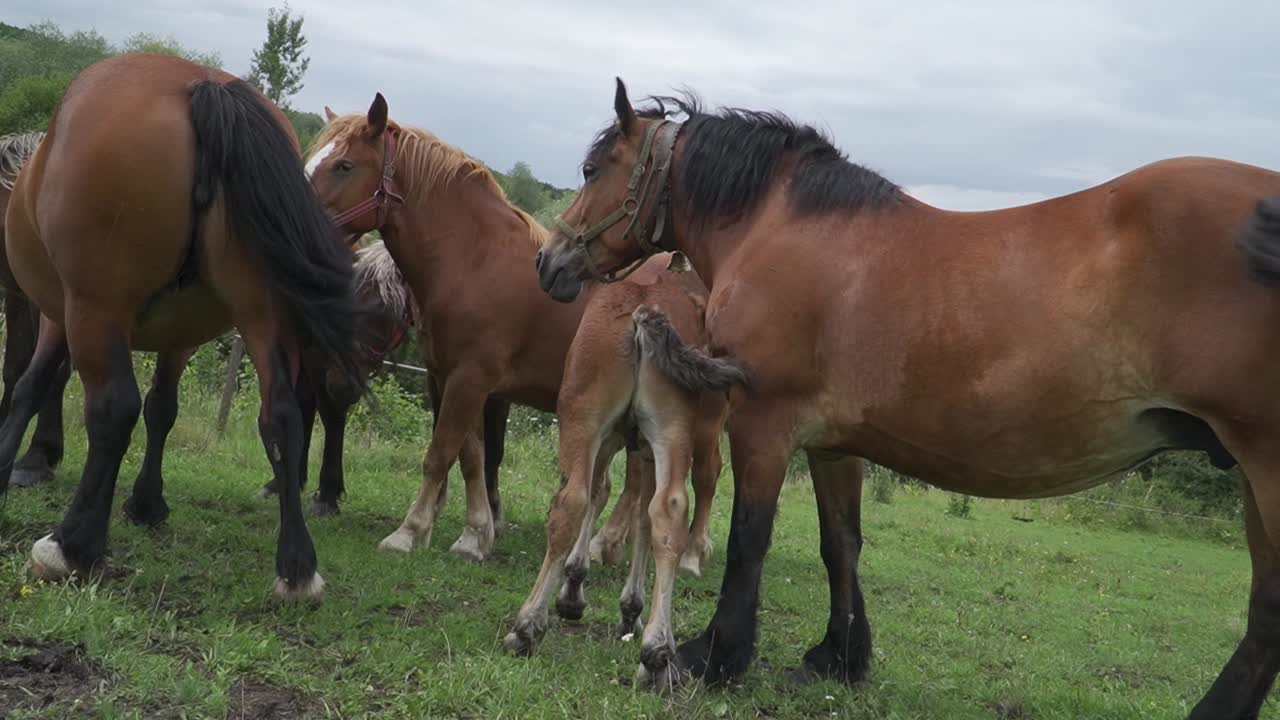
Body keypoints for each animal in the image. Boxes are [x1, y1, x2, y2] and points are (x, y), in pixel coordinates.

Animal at [0, 52, 365, 601]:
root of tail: (201, 85)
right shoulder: (179, 338)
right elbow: (162, 409)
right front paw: (146, 502)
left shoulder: (58, 313)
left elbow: (32, 382)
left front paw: (18, 463)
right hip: (261, 312)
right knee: (280, 414)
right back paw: (297, 567)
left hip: (95, 308)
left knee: (113, 408)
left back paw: (71, 546)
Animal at [305, 95, 723, 581]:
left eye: (344, 165)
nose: (336, 383)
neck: (473, 259)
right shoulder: (451, 378)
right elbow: (471, 455)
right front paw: (475, 533)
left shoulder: (470, 380)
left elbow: (441, 451)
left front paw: (410, 531)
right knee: (639, 480)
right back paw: (606, 544)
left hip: (703, 416)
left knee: (706, 474)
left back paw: (690, 553)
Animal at [505, 253, 746, 690]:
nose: (547, 267)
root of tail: (643, 312)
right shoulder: (644, 447)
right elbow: (643, 516)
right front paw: (630, 607)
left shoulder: (607, 438)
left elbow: (597, 492)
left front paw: (573, 588)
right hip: (672, 431)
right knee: (669, 510)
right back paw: (656, 653)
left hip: (582, 419)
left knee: (570, 502)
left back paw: (527, 627)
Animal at [533, 78, 1280, 718]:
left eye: (592, 169)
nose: (550, 263)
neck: (783, 230)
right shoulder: (832, 443)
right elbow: (842, 544)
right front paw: (838, 658)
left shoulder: (764, 425)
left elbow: (750, 539)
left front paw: (714, 656)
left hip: (1265, 468)